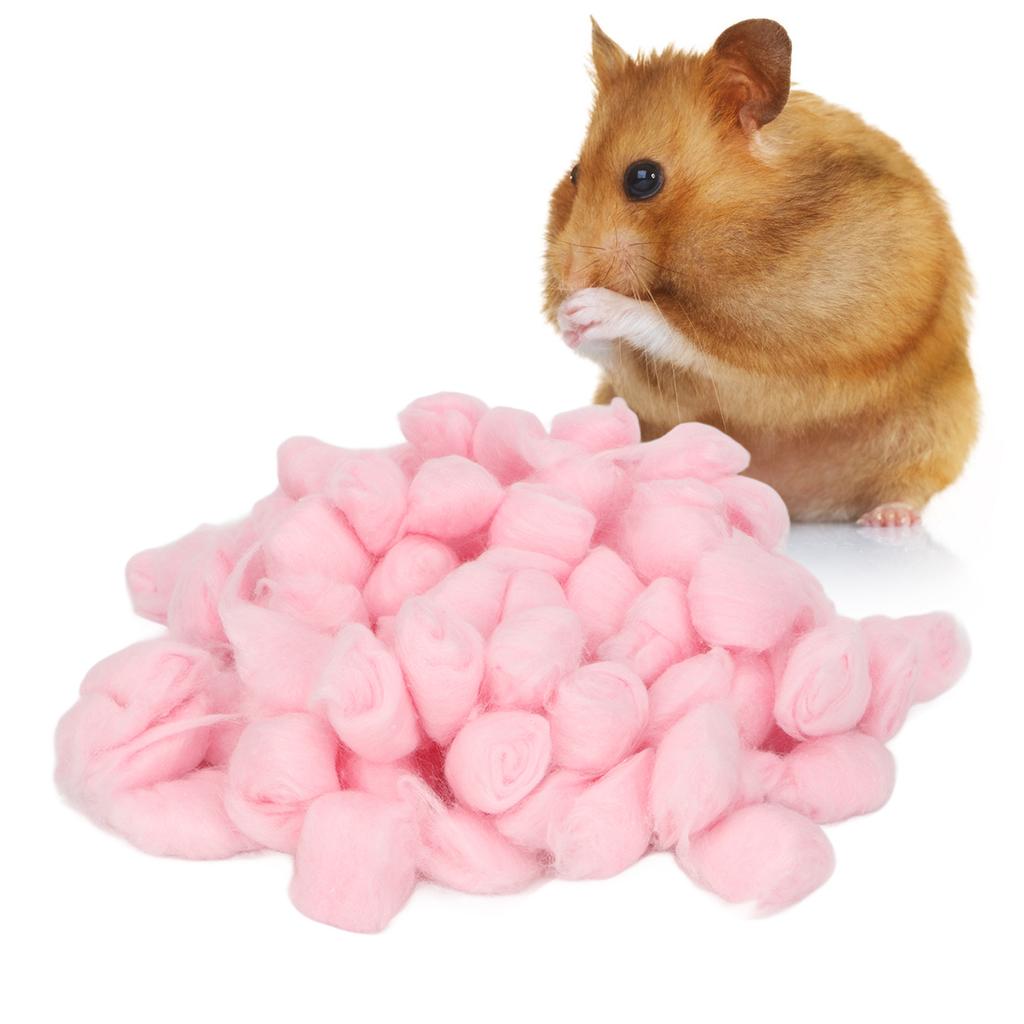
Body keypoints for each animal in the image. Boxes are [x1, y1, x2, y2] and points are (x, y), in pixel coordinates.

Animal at [544, 19, 978, 526]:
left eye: (643, 178)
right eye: (575, 173)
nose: (569, 281)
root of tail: (795, 499)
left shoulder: (791, 342)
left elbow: (679, 333)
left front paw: (589, 310)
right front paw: (569, 321)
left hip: (940, 427)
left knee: (910, 485)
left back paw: (888, 520)